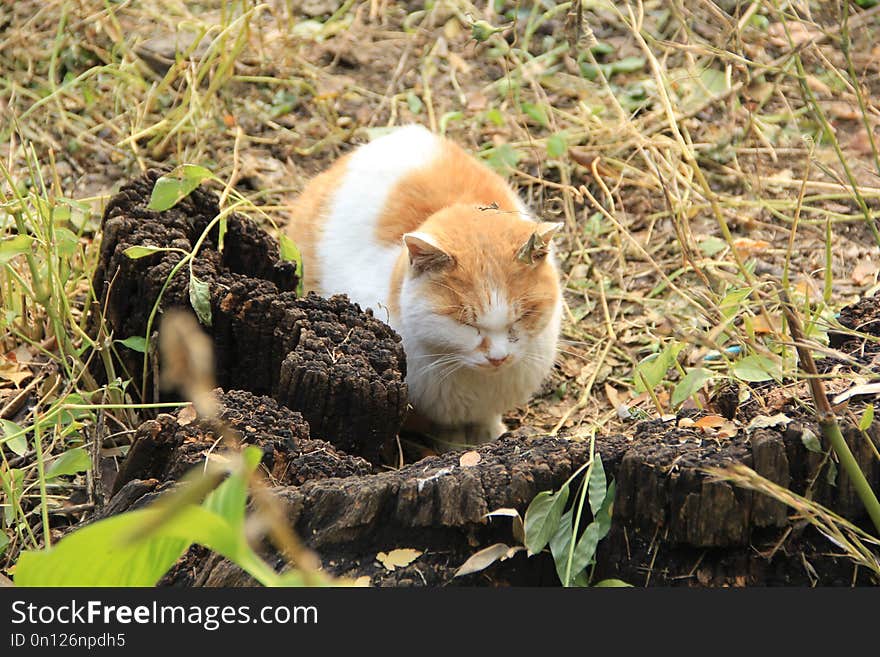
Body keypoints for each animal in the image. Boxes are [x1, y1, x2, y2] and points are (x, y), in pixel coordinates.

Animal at [288, 125, 564, 448]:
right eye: (466, 323)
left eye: (523, 316)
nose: (498, 357)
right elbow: (449, 434)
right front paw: (456, 447)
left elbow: (486, 419)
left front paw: (490, 435)